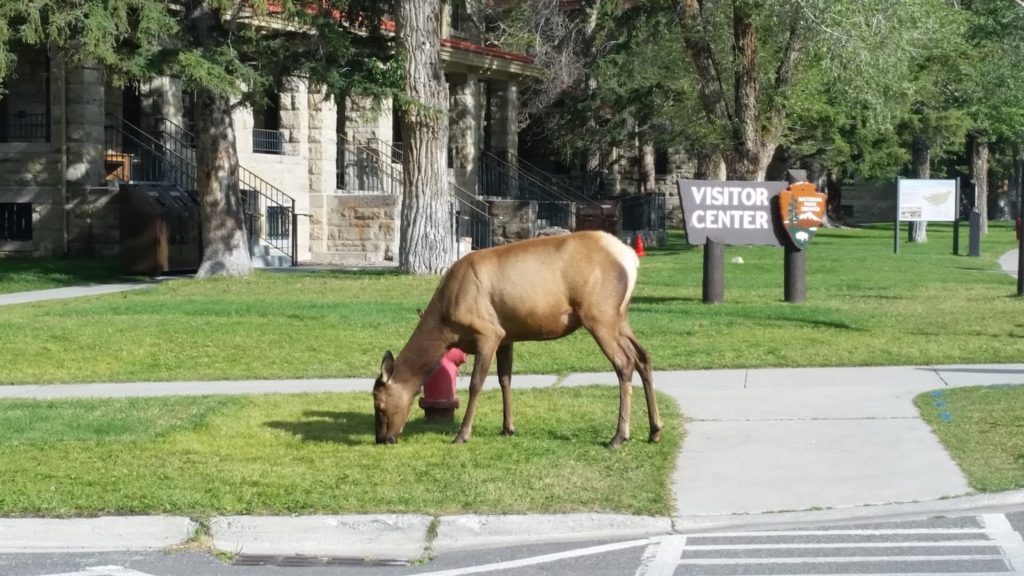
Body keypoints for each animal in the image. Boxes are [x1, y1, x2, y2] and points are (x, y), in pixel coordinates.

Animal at [374, 228, 663, 444]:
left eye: (379, 404)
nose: (383, 439)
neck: (445, 324)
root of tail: (630, 259)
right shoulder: (507, 336)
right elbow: (505, 380)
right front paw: (507, 428)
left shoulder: (488, 332)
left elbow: (476, 384)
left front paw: (462, 434)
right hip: (619, 316)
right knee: (643, 356)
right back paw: (654, 430)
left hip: (599, 314)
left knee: (624, 363)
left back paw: (619, 436)